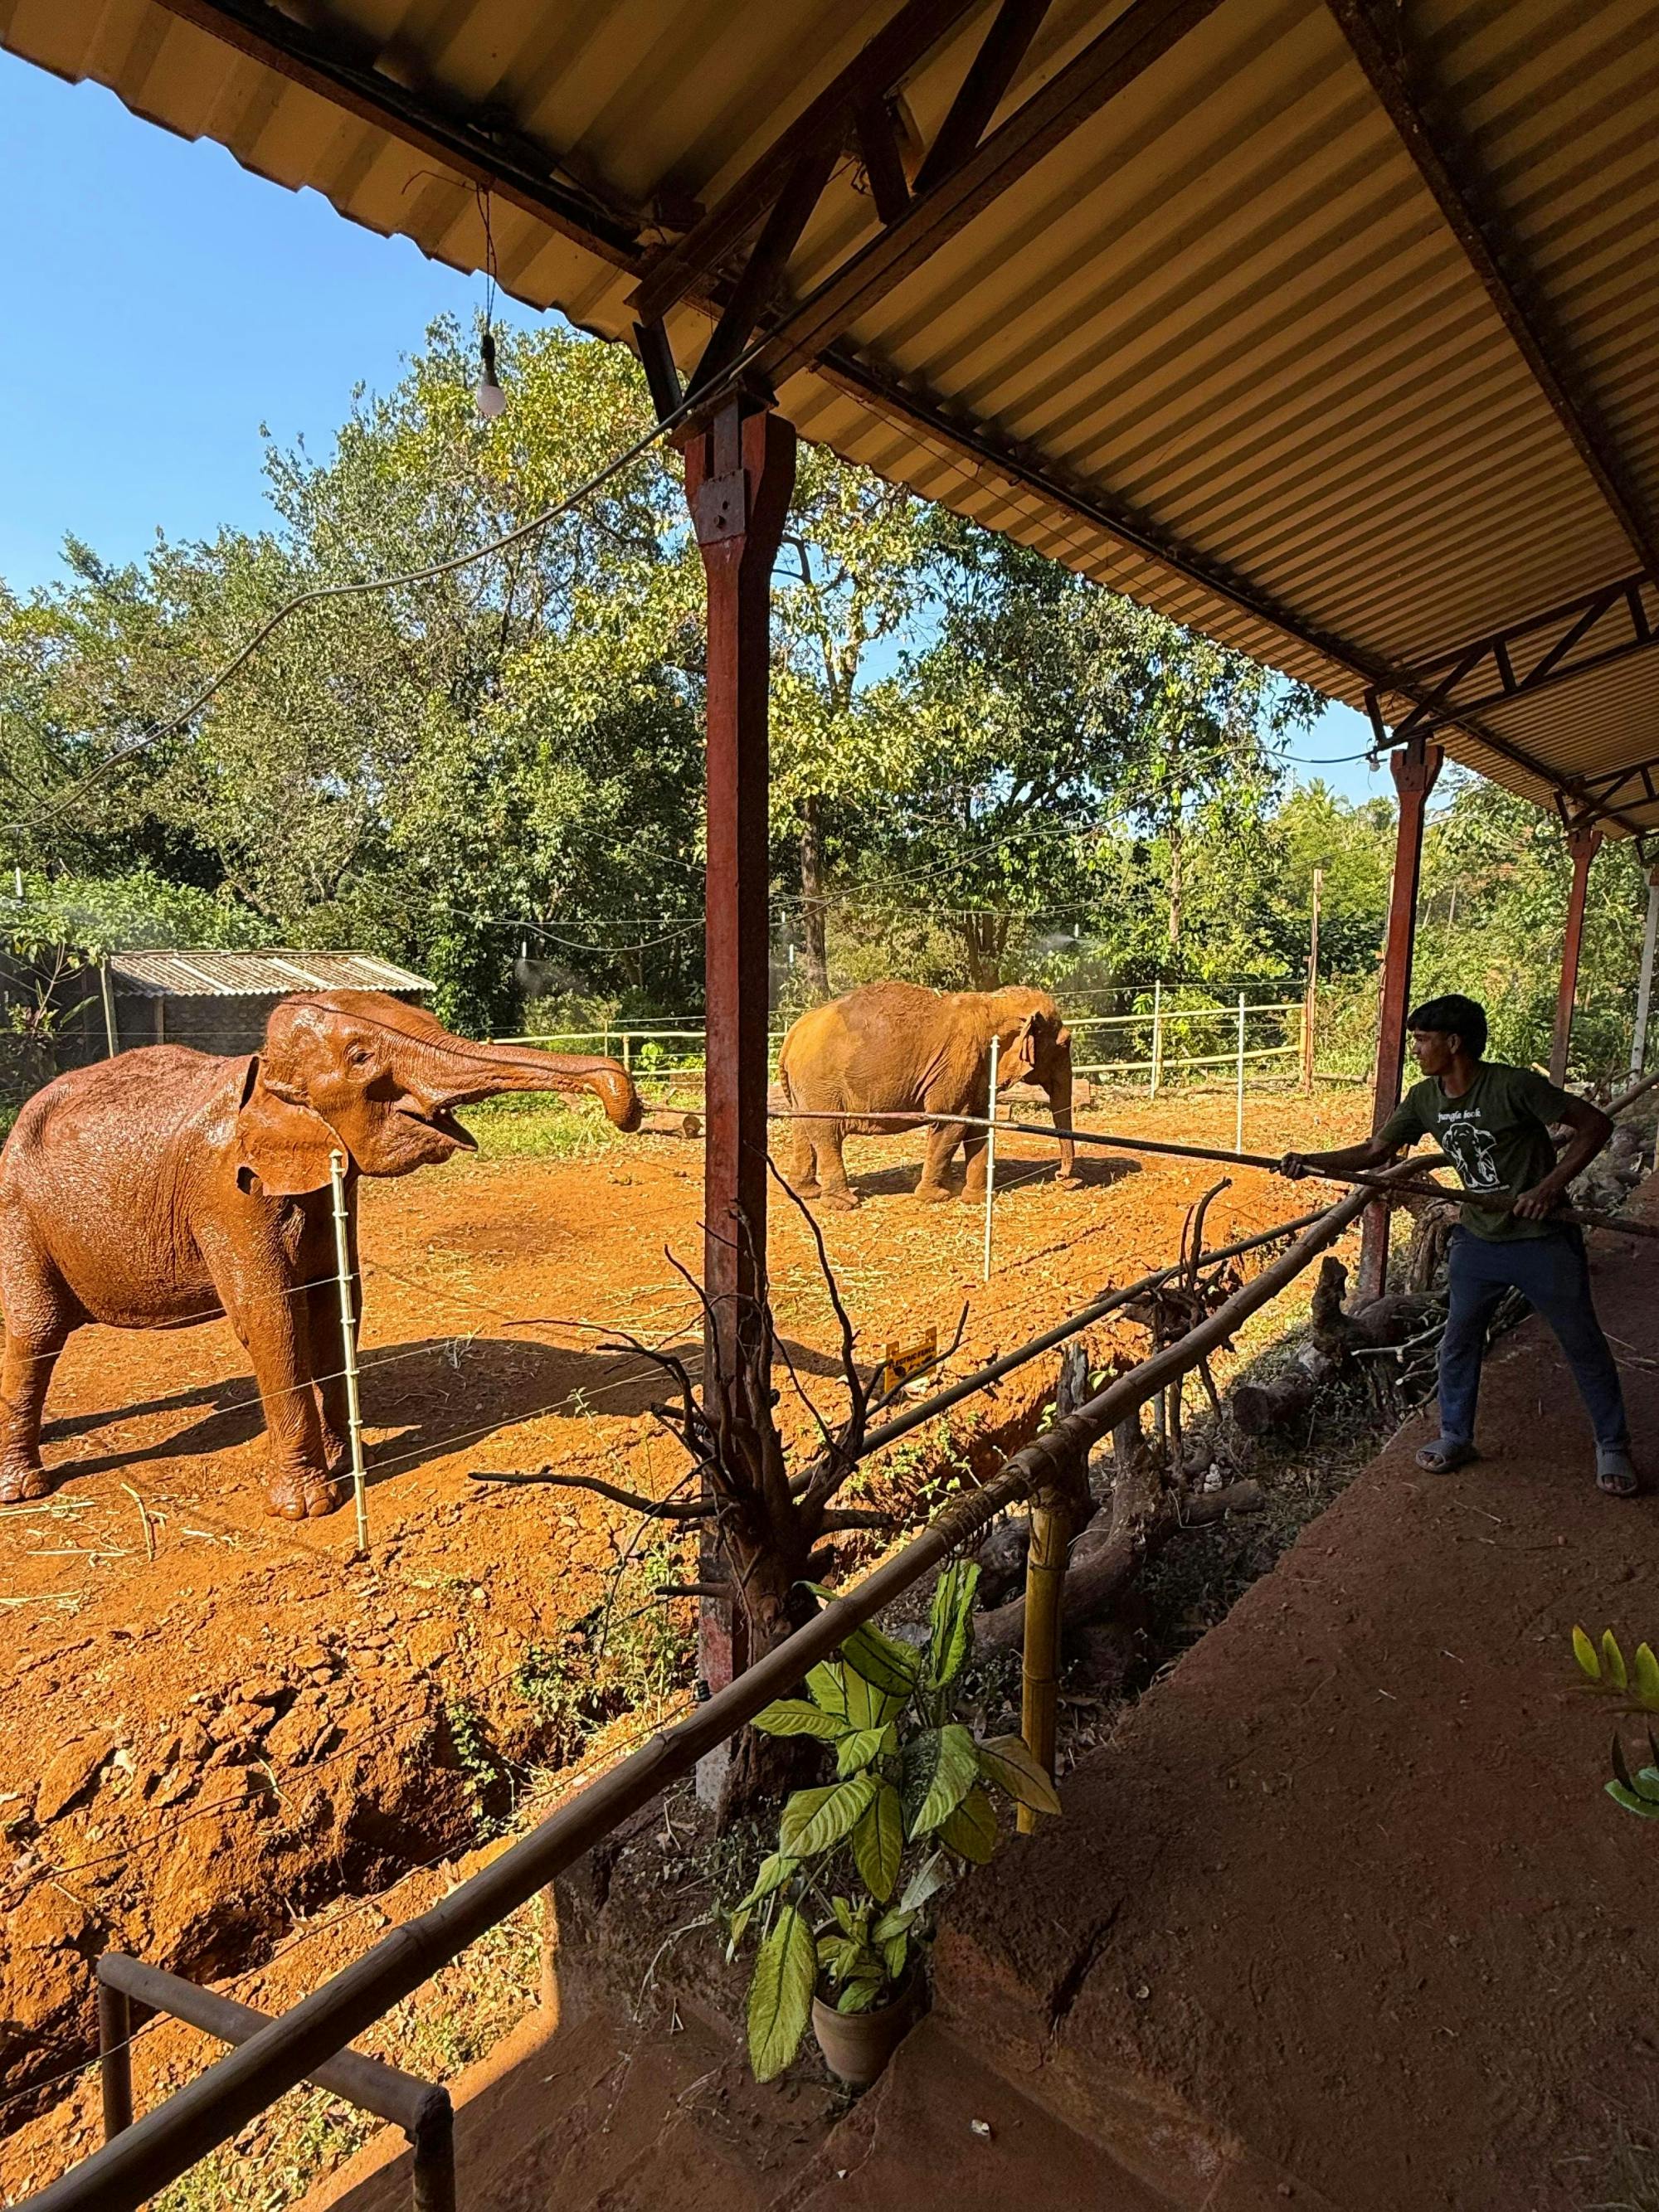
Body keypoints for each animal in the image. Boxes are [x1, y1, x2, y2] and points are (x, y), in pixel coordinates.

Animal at [0, 989, 642, 1519]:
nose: (626, 1108)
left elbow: (336, 1301)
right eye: (361, 1057)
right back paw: (23, 1489)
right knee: (36, 1331)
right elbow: (272, 1317)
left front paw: (353, 1458)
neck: (263, 1075)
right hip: (19, 1213)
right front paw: (309, 1506)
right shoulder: (228, 1193)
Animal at [778, 981, 1077, 1210]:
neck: (994, 1002)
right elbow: (950, 1123)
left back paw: (807, 1193)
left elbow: (979, 1126)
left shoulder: (978, 1070)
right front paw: (936, 1197)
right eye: (1065, 1043)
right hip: (821, 1085)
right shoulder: (958, 1063)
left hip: (805, 1090)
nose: (1062, 1178)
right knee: (826, 1134)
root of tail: (793, 1033)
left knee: (803, 1131)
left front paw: (976, 1199)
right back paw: (844, 1203)